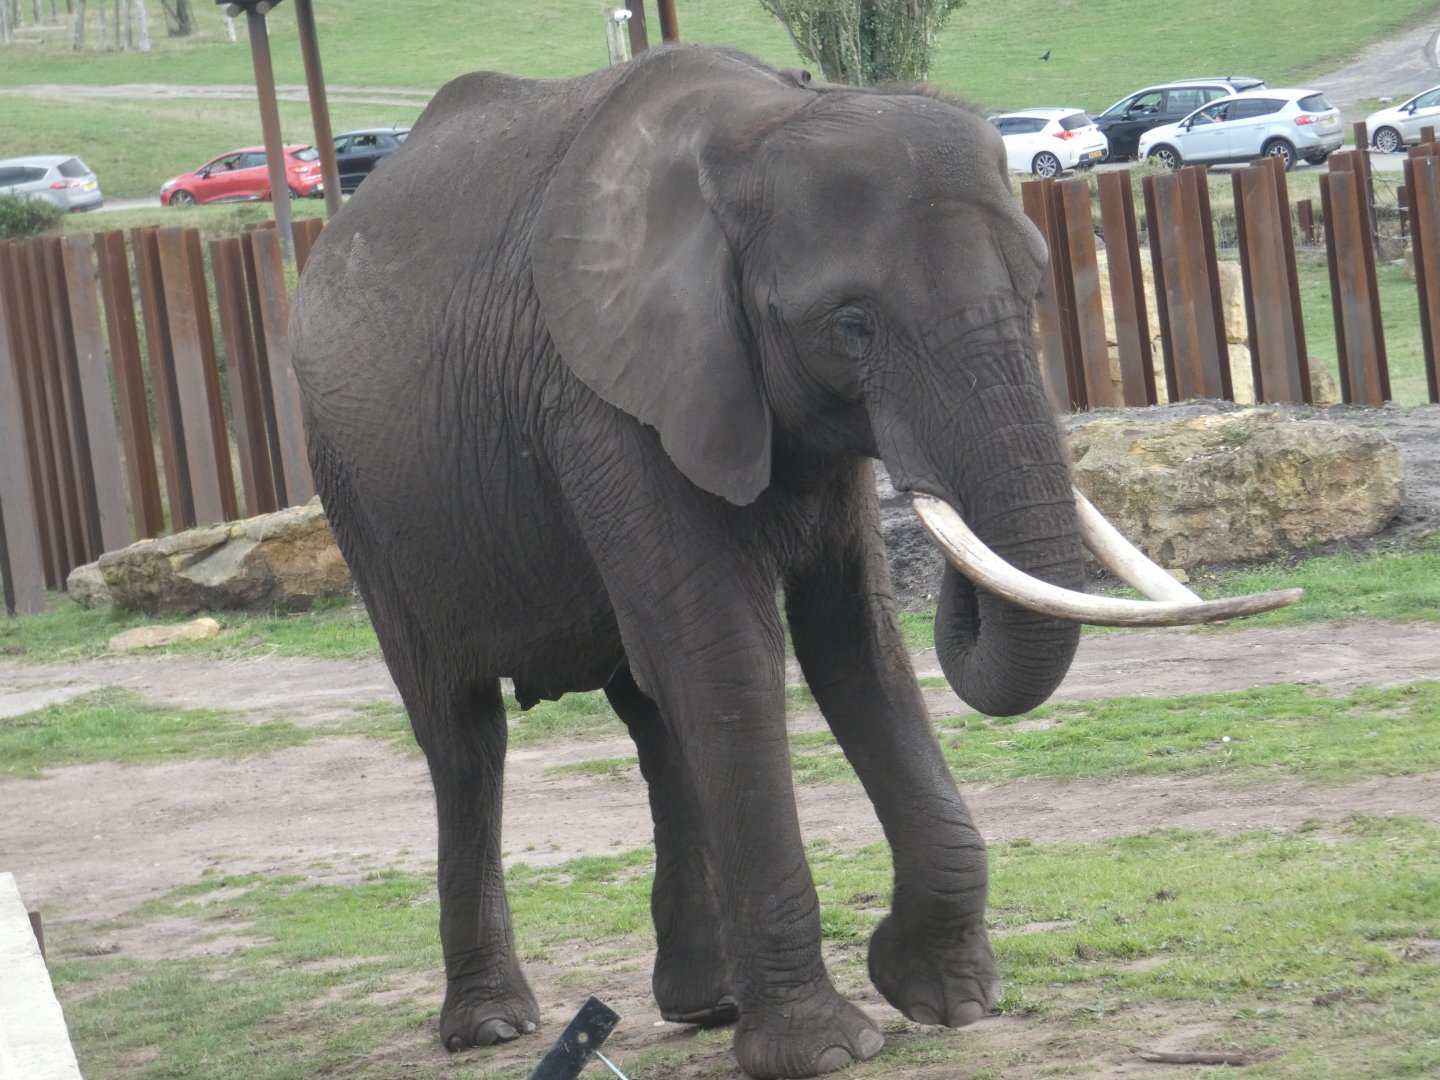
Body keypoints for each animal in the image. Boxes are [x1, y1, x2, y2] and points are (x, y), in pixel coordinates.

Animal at [289, 44, 1296, 1080]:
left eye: (1033, 292)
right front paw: (825, 1048)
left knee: (653, 712)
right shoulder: (605, 396)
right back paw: (494, 1024)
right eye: (851, 326)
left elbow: (853, 638)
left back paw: (707, 1003)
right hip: (361, 500)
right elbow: (729, 652)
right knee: (465, 737)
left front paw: (943, 997)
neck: (765, 125)